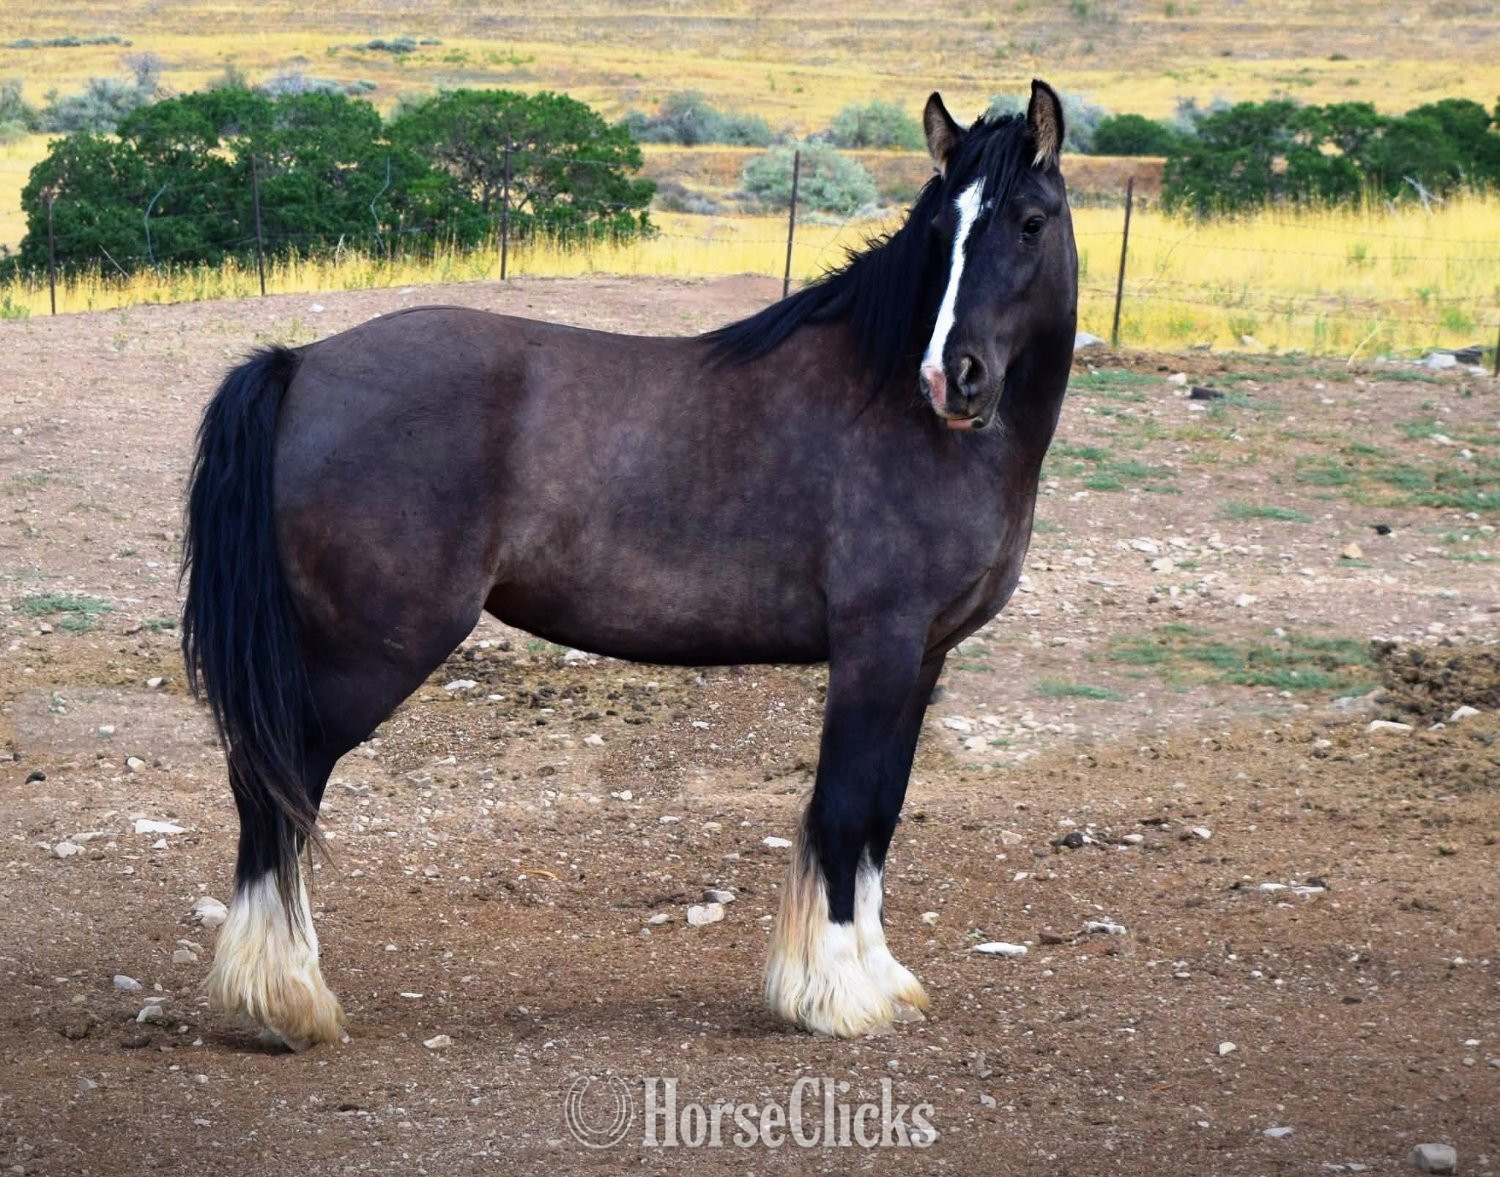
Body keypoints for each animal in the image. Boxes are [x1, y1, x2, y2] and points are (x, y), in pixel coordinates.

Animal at [181, 80, 1078, 1050]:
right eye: (943, 226)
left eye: (1029, 222)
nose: (954, 377)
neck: (900, 413)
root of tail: (301, 363)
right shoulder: (875, 649)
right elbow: (843, 808)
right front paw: (837, 993)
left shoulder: (922, 659)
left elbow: (880, 809)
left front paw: (877, 976)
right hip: (371, 654)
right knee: (277, 784)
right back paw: (284, 997)